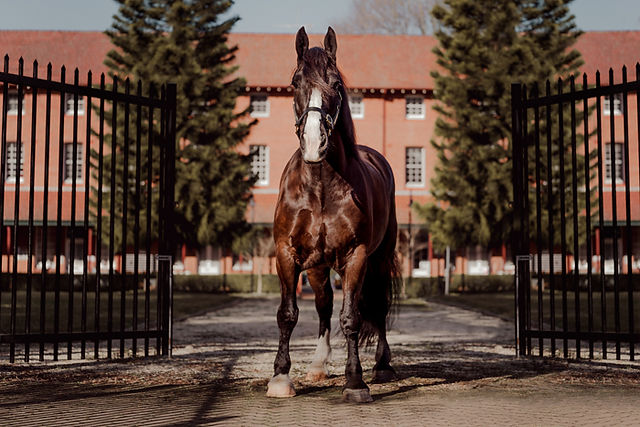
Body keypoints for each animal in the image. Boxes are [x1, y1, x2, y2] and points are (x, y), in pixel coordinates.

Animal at [266, 26, 401, 404]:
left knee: (378, 305)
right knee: (324, 305)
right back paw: (318, 364)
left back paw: (382, 364)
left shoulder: (357, 257)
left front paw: (355, 381)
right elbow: (288, 314)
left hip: (379, 259)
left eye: (336, 84)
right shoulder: (287, 254)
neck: (321, 187)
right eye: (295, 82)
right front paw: (281, 377)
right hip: (317, 266)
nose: (315, 142)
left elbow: (352, 317)